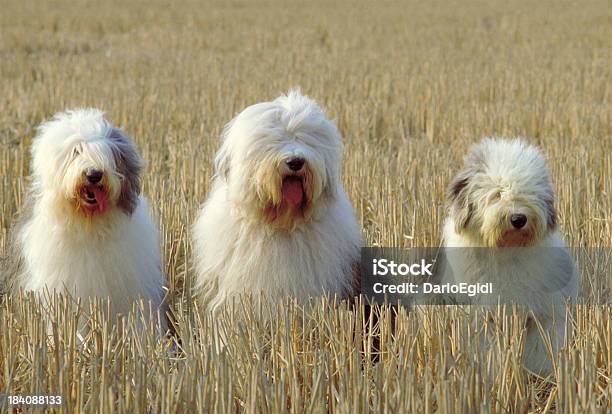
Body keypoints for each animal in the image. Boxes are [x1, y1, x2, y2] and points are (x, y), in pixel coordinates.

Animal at [444, 137, 580, 374]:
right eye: (497, 193)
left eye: (530, 192)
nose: (518, 219)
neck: (506, 249)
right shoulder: (482, 315)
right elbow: (486, 348)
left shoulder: (543, 313)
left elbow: (541, 347)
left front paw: (542, 373)